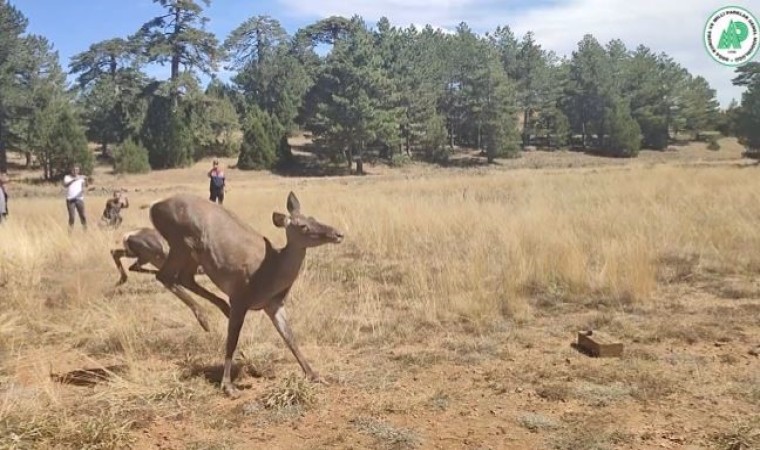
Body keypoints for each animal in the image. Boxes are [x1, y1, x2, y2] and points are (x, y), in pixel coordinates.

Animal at [149, 192, 344, 396]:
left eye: (313, 218)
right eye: (302, 226)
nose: (338, 234)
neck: (271, 271)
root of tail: (154, 207)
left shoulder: (274, 304)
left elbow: (289, 337)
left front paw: (315, 375)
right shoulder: (240, 298)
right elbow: (232, 340)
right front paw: (228, 386)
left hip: (192, 252)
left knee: (184, 277)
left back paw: (217, 311)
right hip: (180, 241)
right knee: (164, 275)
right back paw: (204, 318)